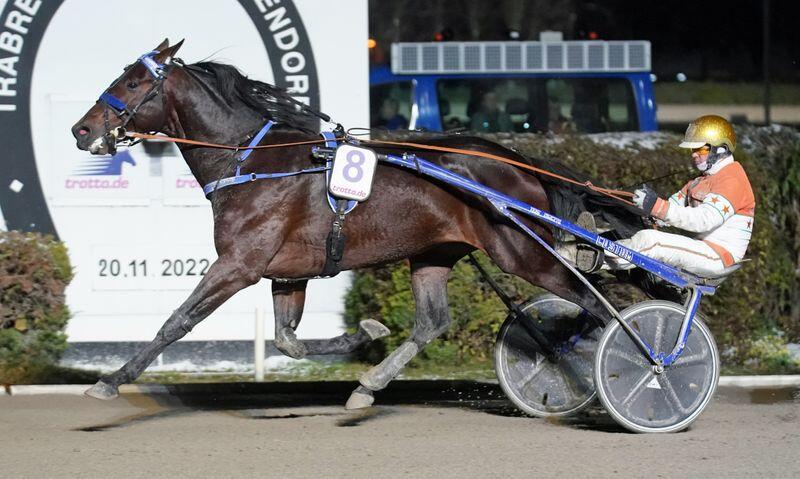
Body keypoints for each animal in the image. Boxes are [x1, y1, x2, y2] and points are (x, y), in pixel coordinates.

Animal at [67, 40, 644, 408]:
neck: (251, 160)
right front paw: (365, 332)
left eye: (133, 81)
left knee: (597, 302)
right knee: (433, 322)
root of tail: (517, 162)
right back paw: (369, 385)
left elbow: (177, 321)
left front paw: (112, 380)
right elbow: (288, 341)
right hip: (433, 253)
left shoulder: (238, 265)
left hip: (522, 253)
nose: (81, 129)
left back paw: (632, 369)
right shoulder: (287, 271)